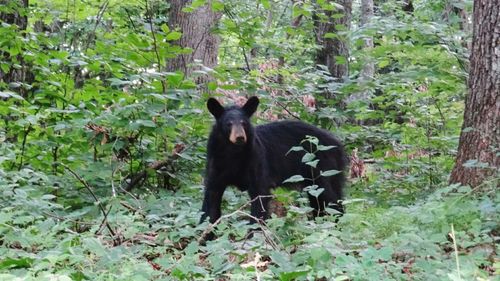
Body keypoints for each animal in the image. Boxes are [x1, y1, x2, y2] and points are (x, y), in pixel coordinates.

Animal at [200, 96, 348, 225]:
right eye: (228, 124)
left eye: (244, 123)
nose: (240, 137)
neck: (233, 153)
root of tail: (337, 143)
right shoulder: (216, 164)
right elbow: (210, 202)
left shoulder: (256, 161)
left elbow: (259, 198)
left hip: (322, 168)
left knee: (329, 198)